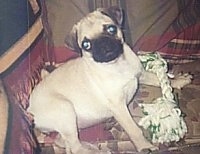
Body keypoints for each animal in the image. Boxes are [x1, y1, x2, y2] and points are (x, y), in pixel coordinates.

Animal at [28, 6, 189, 153]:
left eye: (111, 29)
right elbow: (133, 129)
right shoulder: (119, 106)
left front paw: (178, 81)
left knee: (63, 142)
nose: (103, 45)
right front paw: (145, 146)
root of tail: (29, 111)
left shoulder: (141, 74)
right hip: (65, 109)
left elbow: (157, 78)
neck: (118, 64)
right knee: (74, 146)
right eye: (86, 45)